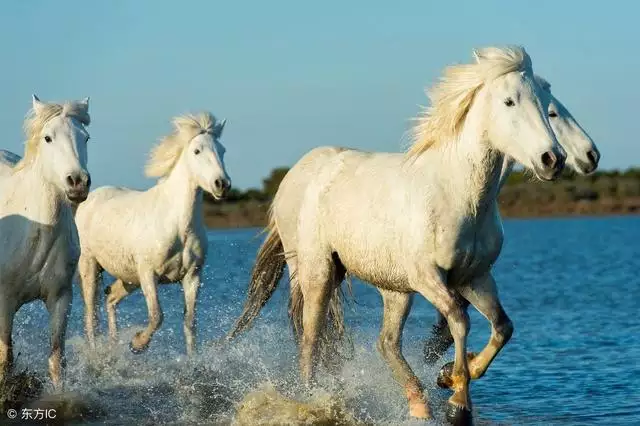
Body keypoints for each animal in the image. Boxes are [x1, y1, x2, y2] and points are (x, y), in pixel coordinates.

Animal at [0, 95, 91, 390]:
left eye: (86, 137)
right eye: (48, 138)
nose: (77, 182)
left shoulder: (60, 297)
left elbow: (56, 360)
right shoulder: (4, 300)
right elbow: (5, 359)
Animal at [75, 111, 230, 354]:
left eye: (222, 150)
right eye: (197, 151)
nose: (222, 184)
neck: (179, 226)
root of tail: (88, 200)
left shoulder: (192, 276)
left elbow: (190, 323)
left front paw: (192, 358)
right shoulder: (148, 273)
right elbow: (157, 316)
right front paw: (137, 344)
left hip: (128, 277)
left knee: (110, 297)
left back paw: (113, 345)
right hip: (90, 264)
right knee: (90, 316)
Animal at [225, 45, 564, 422]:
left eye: (546, 102)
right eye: (509, 101)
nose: (553, 160)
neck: (458, 194)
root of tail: (296, 175)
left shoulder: (474, 277)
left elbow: (502, 327)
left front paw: (448, 376)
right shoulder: (427, 277)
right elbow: (459, 320)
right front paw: (458, 404)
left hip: (393, 289)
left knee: (385, 342)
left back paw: (418, 402)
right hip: (319, 272)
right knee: (310, 340)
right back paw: (311, 398)